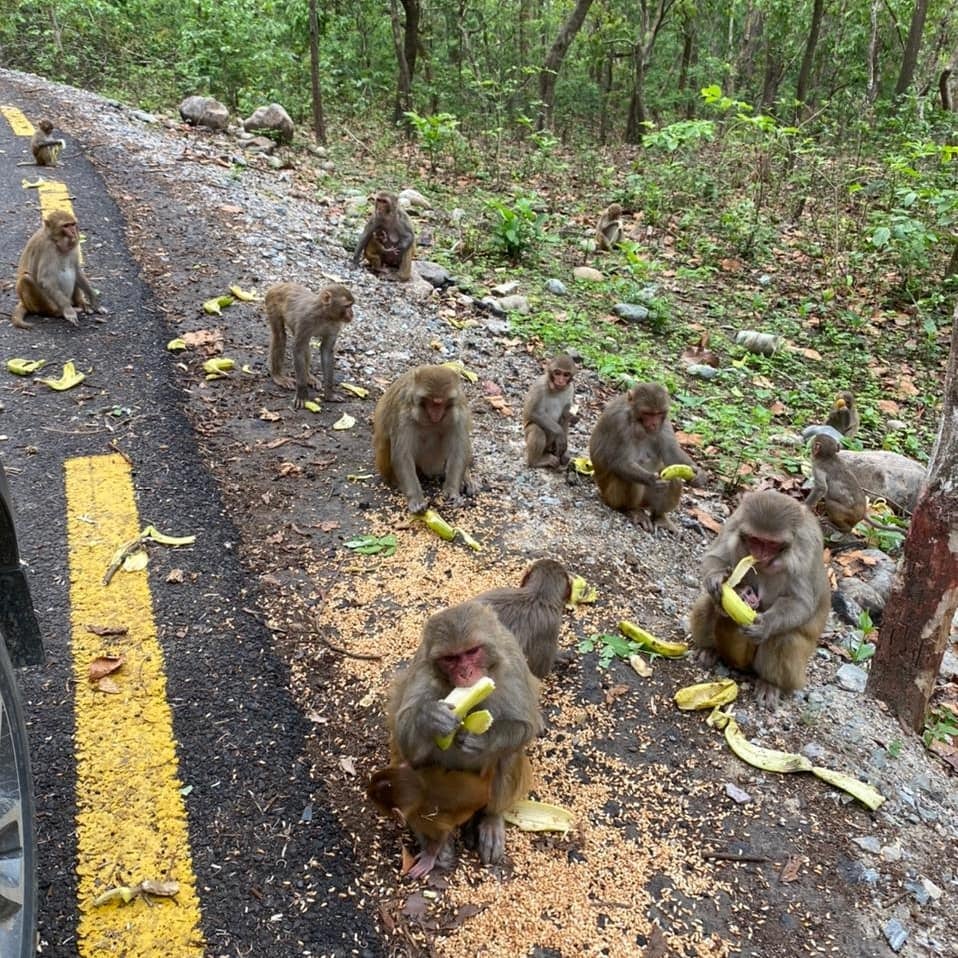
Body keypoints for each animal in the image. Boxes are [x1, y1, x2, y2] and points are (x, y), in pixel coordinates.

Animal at [364, 760, 492, 880]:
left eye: (375, 797)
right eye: (374, 779)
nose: (367, 791)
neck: (422, 792)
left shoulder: (423, 818)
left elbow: (441, 834)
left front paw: (428, 857)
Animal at [376, 366, 478, 516]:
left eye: (440, 403)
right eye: (432, 402)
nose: (436, 413)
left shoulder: (459, 414)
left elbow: (458, 452)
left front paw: (452, 491)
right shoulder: (404, 415)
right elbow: (402, 456)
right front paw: (416, 500)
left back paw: (465, 479)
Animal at [388, 608, 540, 872]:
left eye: (472, 652)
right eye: (451, 658)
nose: (466, 673)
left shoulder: (513, 663)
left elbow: (526, 726)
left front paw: (483, 739)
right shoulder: (424, 671)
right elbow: (404, 737)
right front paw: (430, 718)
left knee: (507, 754)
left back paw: (491, 818)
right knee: (411, 763)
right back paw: (433, 841)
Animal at [588, 380, 700, 532]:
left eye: (658, 413)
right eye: (647, 413)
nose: (654, 424)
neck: (635, 418)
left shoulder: (665, 421)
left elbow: (671, 453)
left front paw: (698, 474)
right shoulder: (619, 422)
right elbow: (619, 462)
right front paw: (651, 480)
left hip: (648, 501)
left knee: (674, 480)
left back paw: (660, 516)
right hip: (610, 497)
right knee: (627, 478)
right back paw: (631, 510)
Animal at [688, 492, 832, 708]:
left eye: (771, 544)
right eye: (756, 540)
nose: (760, 554)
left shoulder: (808, 547)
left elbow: (800, 603)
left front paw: (765, 625)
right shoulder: (736, 521)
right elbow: (714, 558)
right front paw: (718, 579)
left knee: (785, 638)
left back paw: (770, 683)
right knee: (708, 604)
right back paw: (709, 649)